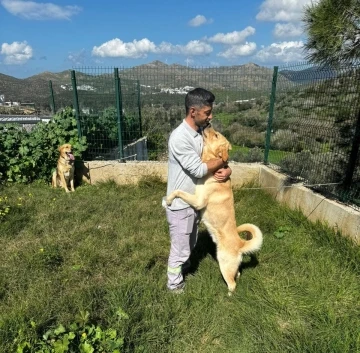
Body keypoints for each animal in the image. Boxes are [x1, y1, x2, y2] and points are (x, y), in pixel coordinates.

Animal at [165, 125, 262, 292]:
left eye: (216, 135)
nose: (208, 125)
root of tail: (240, 243)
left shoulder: (198, 200)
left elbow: (178, 192)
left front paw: (168, 201)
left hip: (224, 264)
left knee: (233, 284)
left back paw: (228, 294)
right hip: (232, 266)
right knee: (238, 274)